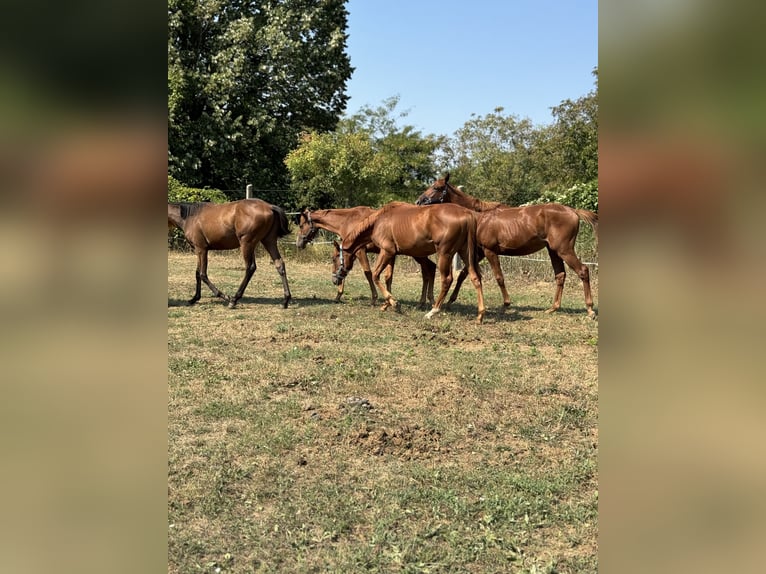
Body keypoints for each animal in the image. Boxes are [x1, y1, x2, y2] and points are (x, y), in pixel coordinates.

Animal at [296, 209, 438, 310]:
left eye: (301, 225)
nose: (298, 243)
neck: (347, 221)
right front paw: (338, 295)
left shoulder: (360, 251)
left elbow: (368, 273)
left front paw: (375, 299)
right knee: (429, 270)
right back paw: (424, 302)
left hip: (418, 254)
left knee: (429, 270)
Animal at [334, 202, 486, 324]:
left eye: (335, 257)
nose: (335, 280)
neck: (379, 221)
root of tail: (467, 214)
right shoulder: (392, 254)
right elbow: (387, 278)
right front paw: (387, 304)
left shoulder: (387, 251)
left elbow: (375, 275)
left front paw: (393, 302)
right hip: (465, 253)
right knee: (475, 278)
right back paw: (480, 315)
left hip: (444, 254)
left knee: (447, 279)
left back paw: (433, 311)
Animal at [420, 176, 600, 320]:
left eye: (437, 188)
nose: (420, 201)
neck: (480, 217)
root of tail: (573, 211)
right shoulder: (479, 253)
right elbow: (464, 274)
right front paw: (451, 300)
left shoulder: (489, 251)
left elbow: (499, 277)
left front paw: (506, 304)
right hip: (553, 251)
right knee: (560, 275)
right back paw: (553, 308)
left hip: (564, 250)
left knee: (583, 271)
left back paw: (590, 310)